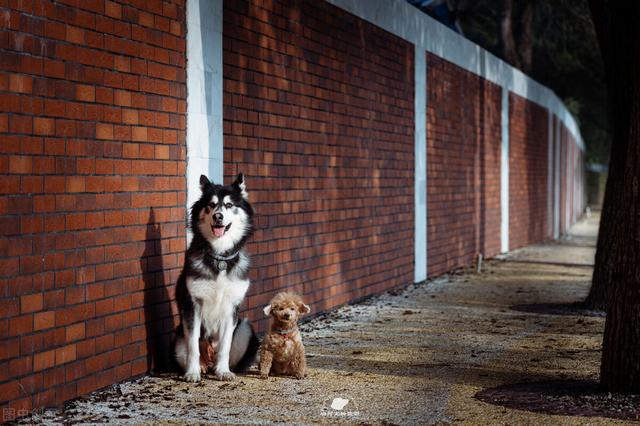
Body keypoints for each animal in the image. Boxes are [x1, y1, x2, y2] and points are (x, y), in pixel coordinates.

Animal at [174, 173, 258, 382]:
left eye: (228, 205)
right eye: (210, 205)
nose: (217, 216)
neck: (219, 256)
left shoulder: (232, 308)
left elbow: (225, 345)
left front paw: (223, 371)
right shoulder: (193, 305)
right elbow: (193, 345)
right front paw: (193, 372)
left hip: (245, 327)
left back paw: (218, 367)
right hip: (178, 336)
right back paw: (202, 367)